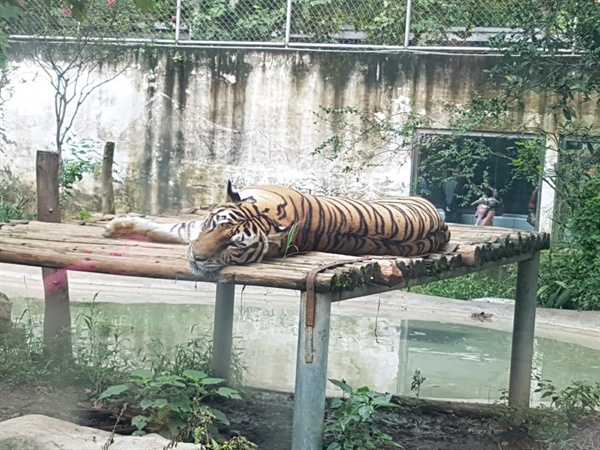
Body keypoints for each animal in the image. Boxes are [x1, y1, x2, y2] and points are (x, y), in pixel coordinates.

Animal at [103, 181, 450, 276]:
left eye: (235, 245)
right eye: (215, 225)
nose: (197, 259)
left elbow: (175, 229)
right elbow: (174, 229)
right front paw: (117, 226)